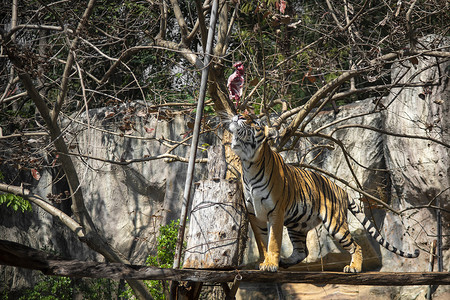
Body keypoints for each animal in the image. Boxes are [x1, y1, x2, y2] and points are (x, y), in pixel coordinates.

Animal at [227, 113, 420, 274]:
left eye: (255, 122)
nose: (238, 116)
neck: (249, 164)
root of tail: (341, 189)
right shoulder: (254, 214)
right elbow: (262, 242)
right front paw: (265, 262)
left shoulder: (275, 212)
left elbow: (273, 241)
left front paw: (270, 265)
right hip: (297, 224)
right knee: (302, 251)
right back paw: (285, 262)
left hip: (335, 223)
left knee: (356, 245)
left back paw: (354, 268)